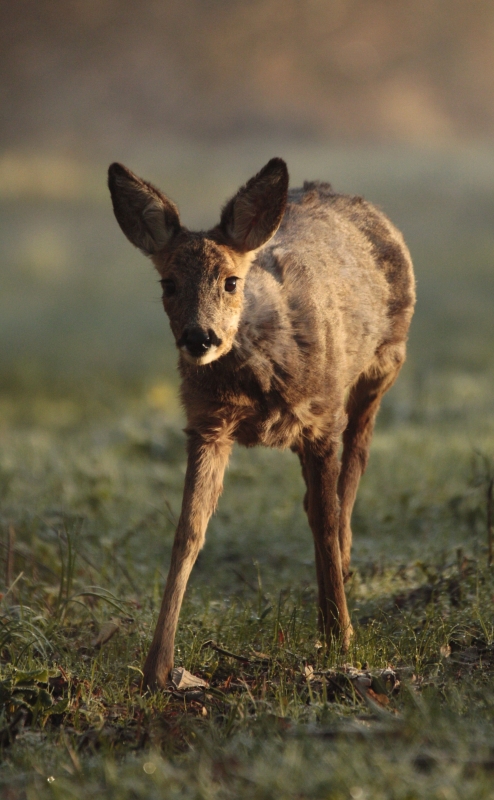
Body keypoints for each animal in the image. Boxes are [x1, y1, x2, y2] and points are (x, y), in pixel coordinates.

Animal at [107, 158, 412, 688]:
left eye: (231, 281)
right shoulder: (205, 424)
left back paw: (342, 585)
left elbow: (326, 518)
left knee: (353, 470)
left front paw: (341, 637)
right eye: (168, 284)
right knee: (320, 496)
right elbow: (188, 532)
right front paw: (157, 667)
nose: (199, 337)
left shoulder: (321, 418)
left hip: (381, 367)